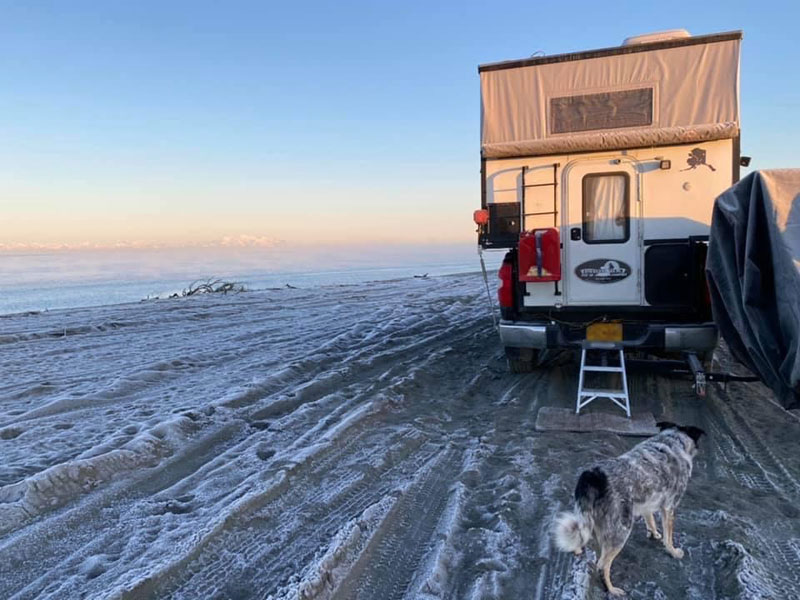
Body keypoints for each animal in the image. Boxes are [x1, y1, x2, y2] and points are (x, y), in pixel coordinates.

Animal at [552, 422, 704, 596]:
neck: (673, 440)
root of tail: (594, 476)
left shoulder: (647, 502)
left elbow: (650, 520)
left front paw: (654, 533)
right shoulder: (669, 507)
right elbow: (669, 537)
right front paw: (673, 551)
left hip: (588, 519)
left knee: (581, 538)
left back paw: (578, 552)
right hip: (621, 531)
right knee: (602, 565)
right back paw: (611, 590)